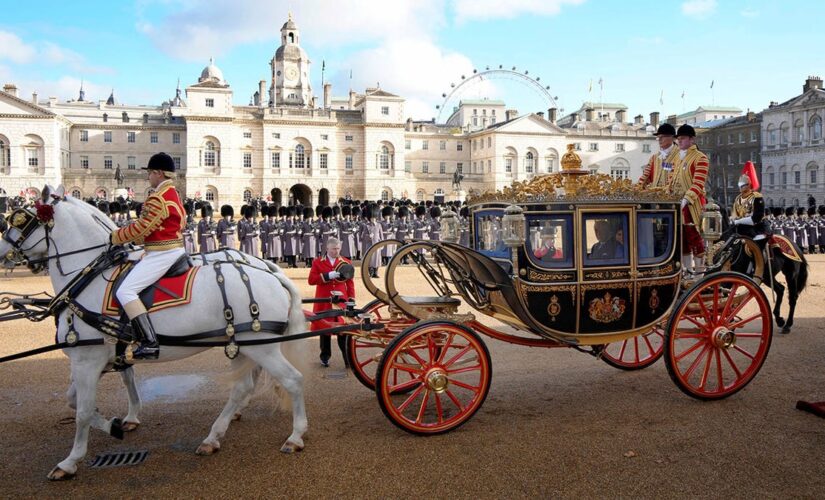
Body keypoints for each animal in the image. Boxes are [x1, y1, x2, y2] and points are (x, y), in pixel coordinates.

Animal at [0, 188, 308, 480]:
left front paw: (71, 461)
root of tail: (271, 272)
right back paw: (213, 436)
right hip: (242, 343)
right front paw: (116, 424)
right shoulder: (94, 358)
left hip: (260, 345)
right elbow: (77, 400)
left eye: (21, 219)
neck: (87, 280)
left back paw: (295, 436)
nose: (2, 251)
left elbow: (83, 412)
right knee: (243, 386)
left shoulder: (87, 359)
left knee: (292, 380)